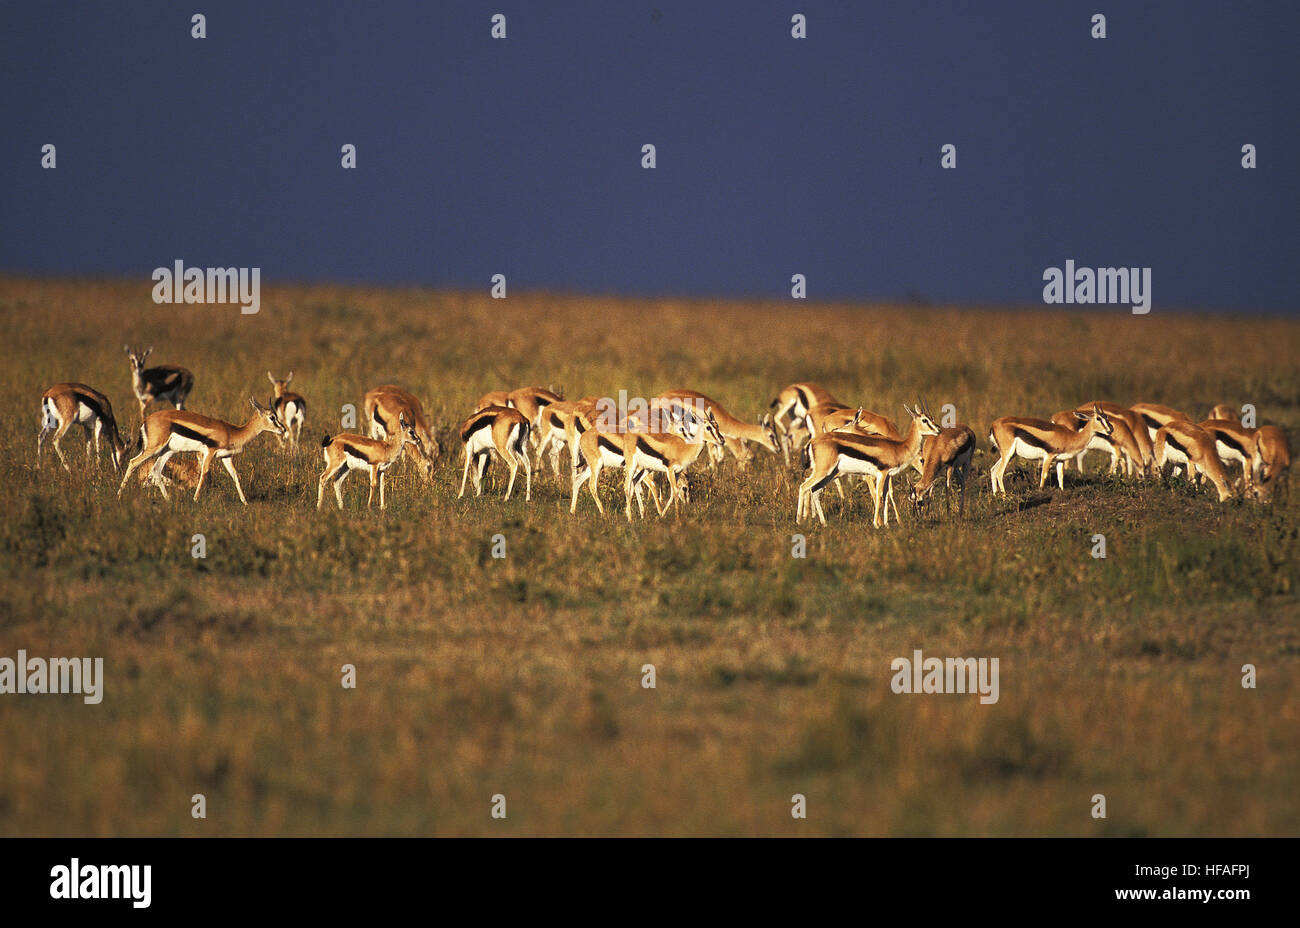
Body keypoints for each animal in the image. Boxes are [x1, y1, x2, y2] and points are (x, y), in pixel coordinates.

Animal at [117, 399, 286, 504]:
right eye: (272, 417)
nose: (283, 429)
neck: (232, 431)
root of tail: (146, 421)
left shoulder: (225, 457)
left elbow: (235, 475)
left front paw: (244, 502)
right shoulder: (208, 453)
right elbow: (204, 474)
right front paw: (195, 499)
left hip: (167, 451)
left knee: (156, 469)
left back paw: (168, 499)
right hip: (154, 448)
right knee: (133, 462)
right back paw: (119, 495)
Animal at [797, 404, 940, 527]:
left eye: (932, 418)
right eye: (925, 420)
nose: (938, 430)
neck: (898, 447)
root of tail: (812, 441)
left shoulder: (887, 475)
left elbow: (886, 495)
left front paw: (887, 524)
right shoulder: (880, 474)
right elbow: (878, 494)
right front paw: (877, 524)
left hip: (830, 474)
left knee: (815, 490)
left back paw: (823, 522)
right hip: (823, 471)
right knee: (804, 486)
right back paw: (800, 520)